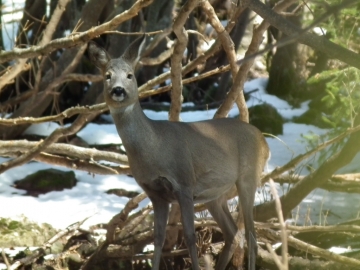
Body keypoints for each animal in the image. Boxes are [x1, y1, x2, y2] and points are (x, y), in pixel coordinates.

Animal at [88, 36, 270, 270]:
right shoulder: (155, 193)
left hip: (248, 177)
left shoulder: (184, 184)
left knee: (251, 235)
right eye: (107, 76)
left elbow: (190, 236)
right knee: (233, 234)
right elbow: (158, 238)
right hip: (217, 195)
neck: (155, 148)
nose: (118, 90)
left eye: (130, 75)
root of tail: (264, 141)